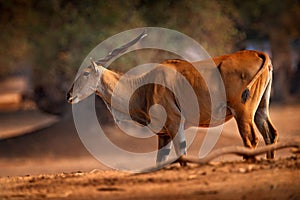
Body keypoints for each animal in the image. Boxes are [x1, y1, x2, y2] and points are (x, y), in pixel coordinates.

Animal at [67, 47, 278, 166]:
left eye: (86, 73)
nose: (69, 95)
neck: (143, 86)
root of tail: (259, 53)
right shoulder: (164, 134)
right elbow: (160, 161)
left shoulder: (175, 124)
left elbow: (182, 156)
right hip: (260, 109)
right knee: (270, 134)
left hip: (242, 112)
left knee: (251, 139)